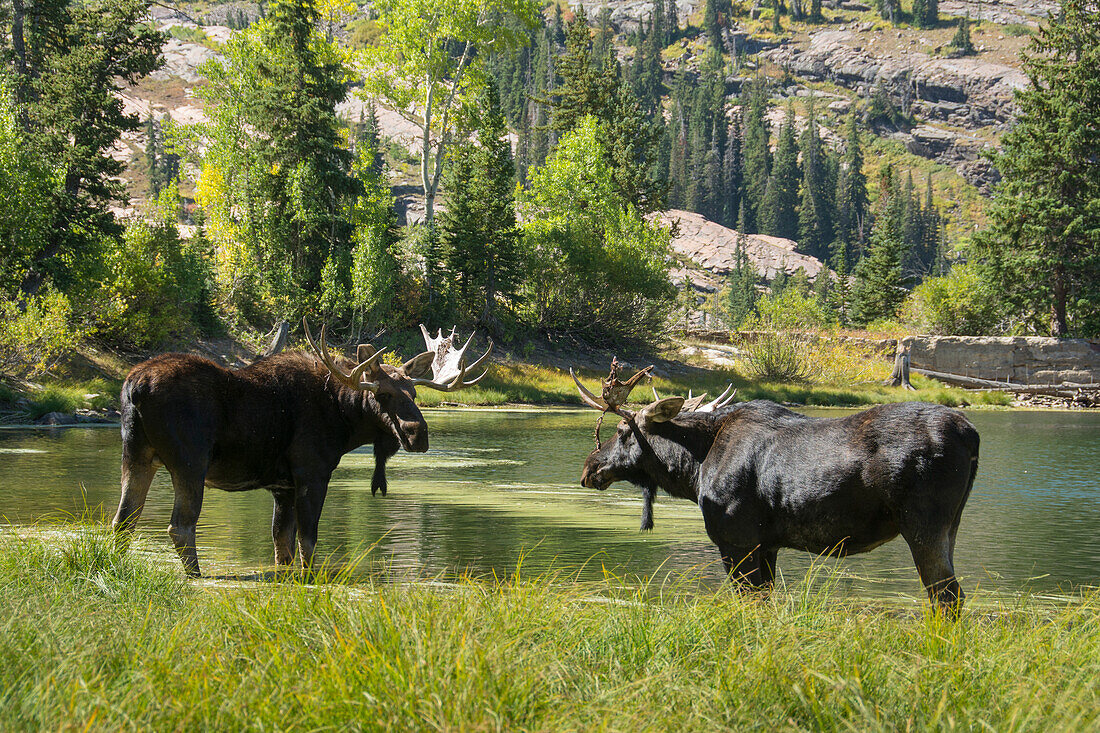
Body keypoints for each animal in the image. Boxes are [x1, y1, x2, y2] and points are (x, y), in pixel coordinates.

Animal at [111, 323, 490, 572]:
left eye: (413, 393)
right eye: (383, 394)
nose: (418, 435)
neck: (343, 420)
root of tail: (134, 386)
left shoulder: (283, 486)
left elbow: (283, 545)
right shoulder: (312, 473)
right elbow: (308, 541)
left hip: (136, 456)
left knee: (123, 520)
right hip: (189, 462)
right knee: (180, 526)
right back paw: (197, 577)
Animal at [572, 365, 976, 611]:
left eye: (623, 432)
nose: (589, 468)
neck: (694, 469)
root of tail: (971, 434)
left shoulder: (737, 539)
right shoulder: (767, 545)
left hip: (923, 525)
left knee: (947, 597)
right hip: (951, 526)